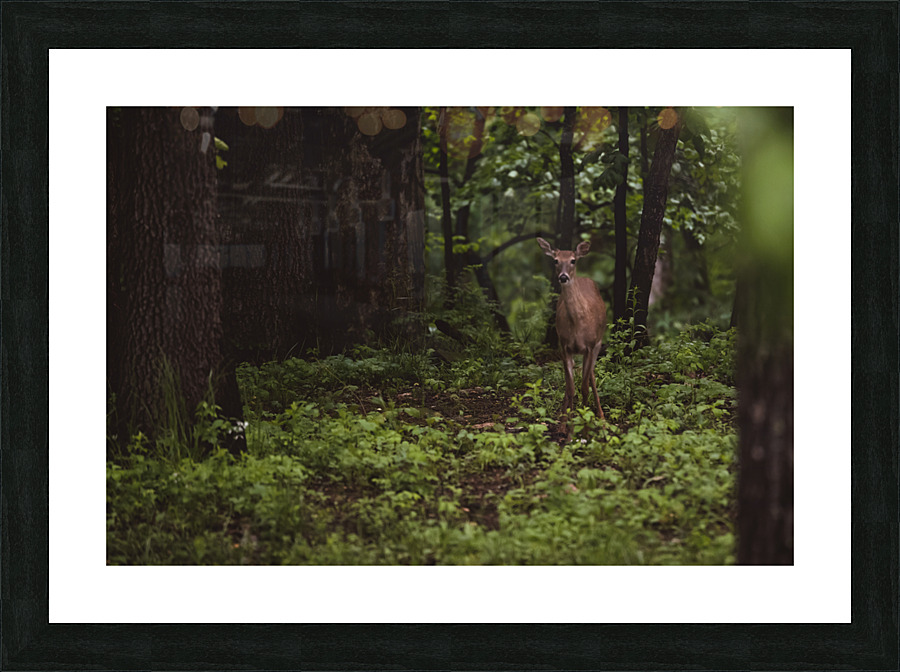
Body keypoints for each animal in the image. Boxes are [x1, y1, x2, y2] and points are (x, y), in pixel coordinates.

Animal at [537, 237, 608, 423]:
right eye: (555, 260)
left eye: (573, 260)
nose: (563, 276)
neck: (577, 325)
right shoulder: (564, 346)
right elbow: (570, 388)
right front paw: (565, 421)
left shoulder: (590, 345)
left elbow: (584, 387)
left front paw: (585, 419)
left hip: (598, 343)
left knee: (591, 376)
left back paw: (601, 415)